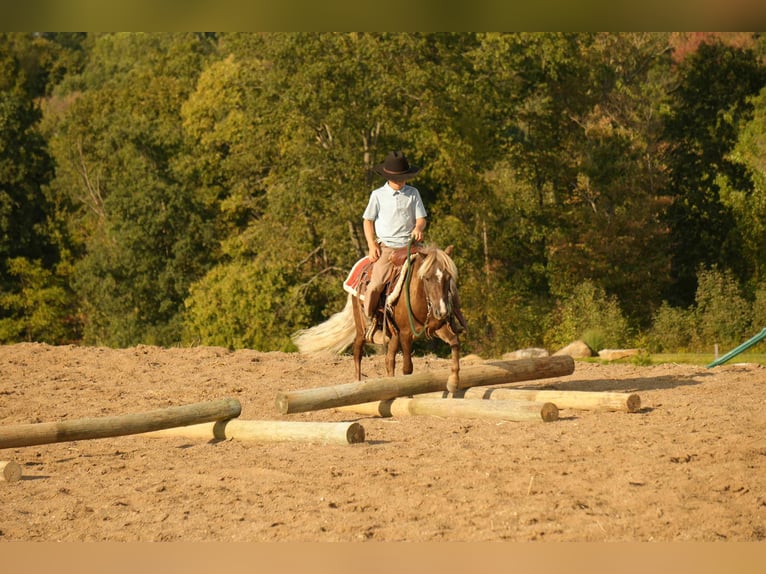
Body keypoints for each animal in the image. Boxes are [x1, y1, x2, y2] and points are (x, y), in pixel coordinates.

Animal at [292, 243, 465, 393]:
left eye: (448, 277)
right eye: (427, 278)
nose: (442, 311)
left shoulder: (437, 327)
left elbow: (455, 343)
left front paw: (453, 382)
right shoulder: (405, 334)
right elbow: (407, 368)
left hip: (392, 334)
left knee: (389, 360)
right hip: (362, 327)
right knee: (357, 351)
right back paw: (358, 382)